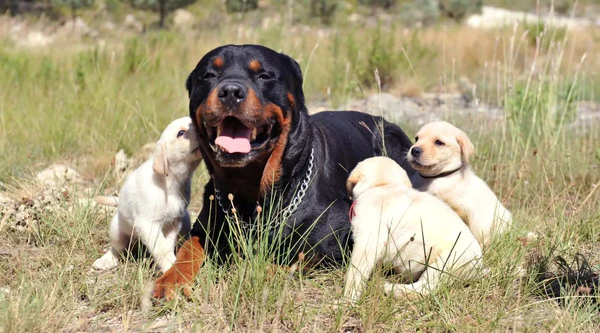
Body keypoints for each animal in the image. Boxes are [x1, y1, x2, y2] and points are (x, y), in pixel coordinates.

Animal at [92, 116, 203, 272]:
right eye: (181, 133)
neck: (169, 182)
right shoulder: (147, 223)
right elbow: (161, 247)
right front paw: (170, 266)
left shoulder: (173, 222)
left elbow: (166, 245)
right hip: (117, 230)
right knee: (117, 248)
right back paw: (106, 260)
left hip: (185, 221)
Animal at [152, 44, 414, 298]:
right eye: (208, 75)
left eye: (264, 76)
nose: (230, 91)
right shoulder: (207, 222)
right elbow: (189, 248)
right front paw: (170, 280)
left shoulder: (338, 238)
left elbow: (288, 262)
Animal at [342, 156, 482, 300]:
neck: (385, 186)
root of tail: (478, 268)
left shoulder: (366, 242)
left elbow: (355, 275)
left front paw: (346, 300)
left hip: (443, 264)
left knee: (425, 288)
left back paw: (391, 288)